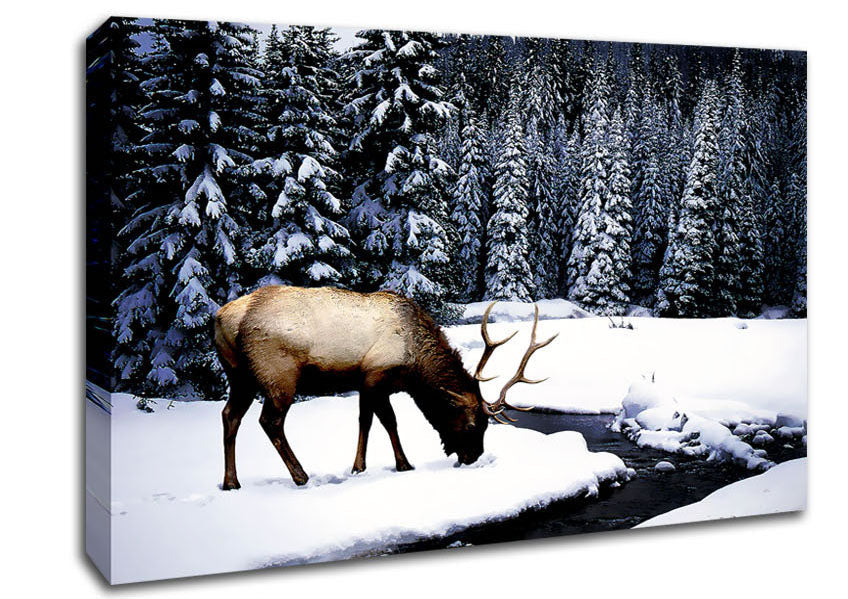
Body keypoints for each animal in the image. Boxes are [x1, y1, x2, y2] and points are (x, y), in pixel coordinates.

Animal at [213, 285, 557, 489]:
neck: (415, 363)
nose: (473, 457)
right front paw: (402, 464)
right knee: (269, 421)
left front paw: (360, 467)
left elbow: (367, 421)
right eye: (473, 424)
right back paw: (301, 476)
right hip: (278, 374)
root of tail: (222, 318)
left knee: (230, 415)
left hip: (239, 375)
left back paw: (231, 482)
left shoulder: (369, 383)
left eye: (487, 425)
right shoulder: (375, 375)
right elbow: (387, 421)